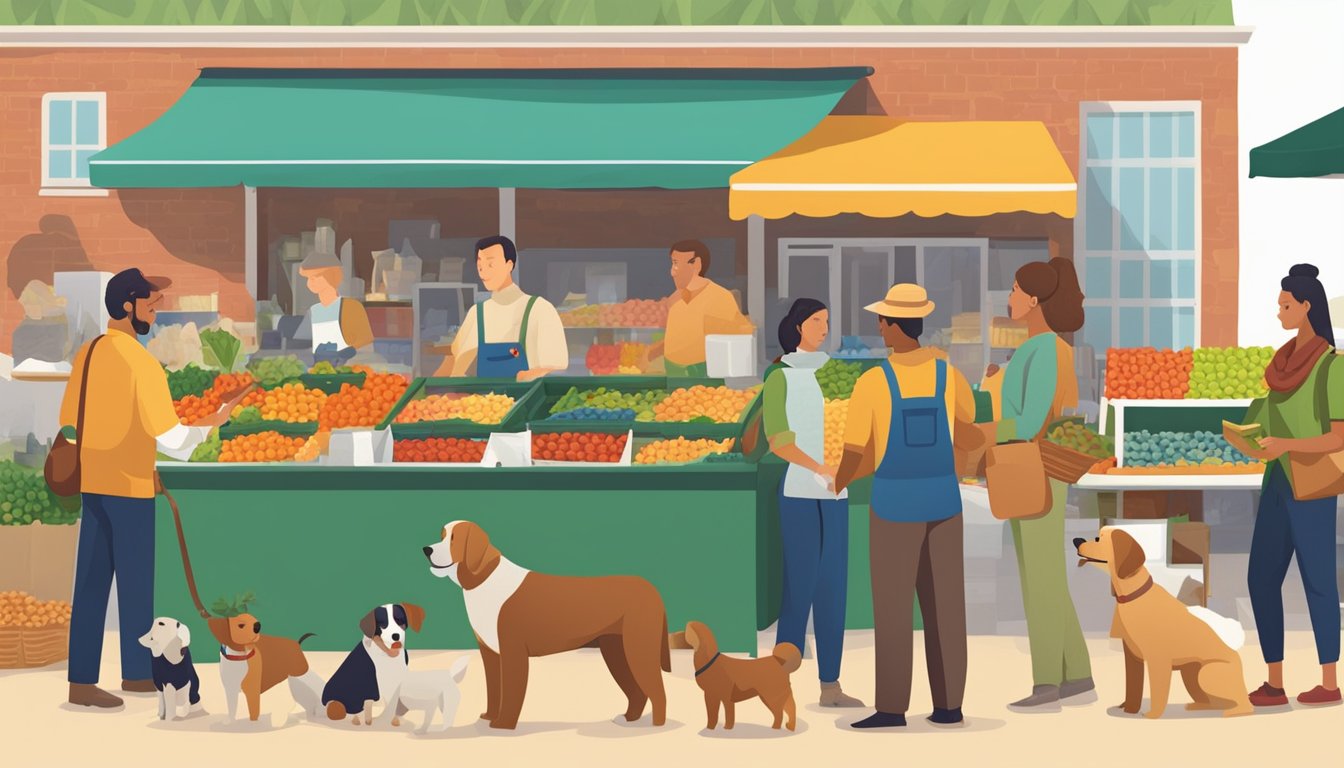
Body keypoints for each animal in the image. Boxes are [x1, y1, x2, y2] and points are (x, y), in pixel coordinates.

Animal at [422, 519, 669, 731]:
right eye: (442, 535)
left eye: (454, 538)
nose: (426, 549)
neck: (484, 579)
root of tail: (651, 589)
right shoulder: (490, 653)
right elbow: (494, 689)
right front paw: (489, 716)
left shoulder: (513, 652)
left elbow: (510, 692)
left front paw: (503, 724)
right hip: (616, 650)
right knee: (638, 692)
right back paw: (628, 719)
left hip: (637, 649)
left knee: (657, 691)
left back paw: (656, 726)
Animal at [1075, 529, 1252, 720]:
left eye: (1098, 539)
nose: (1076, 540)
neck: (1133, 596)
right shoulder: (1131, 655)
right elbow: (1132, 686)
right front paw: (1128, 707)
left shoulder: (1157, 659)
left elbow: (1158, 690)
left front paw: (1152, 714)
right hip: (1190, 674)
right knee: (1212, 701)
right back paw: (1197, 706)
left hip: (1206, 675)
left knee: (1244, 702)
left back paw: (1234, 711)